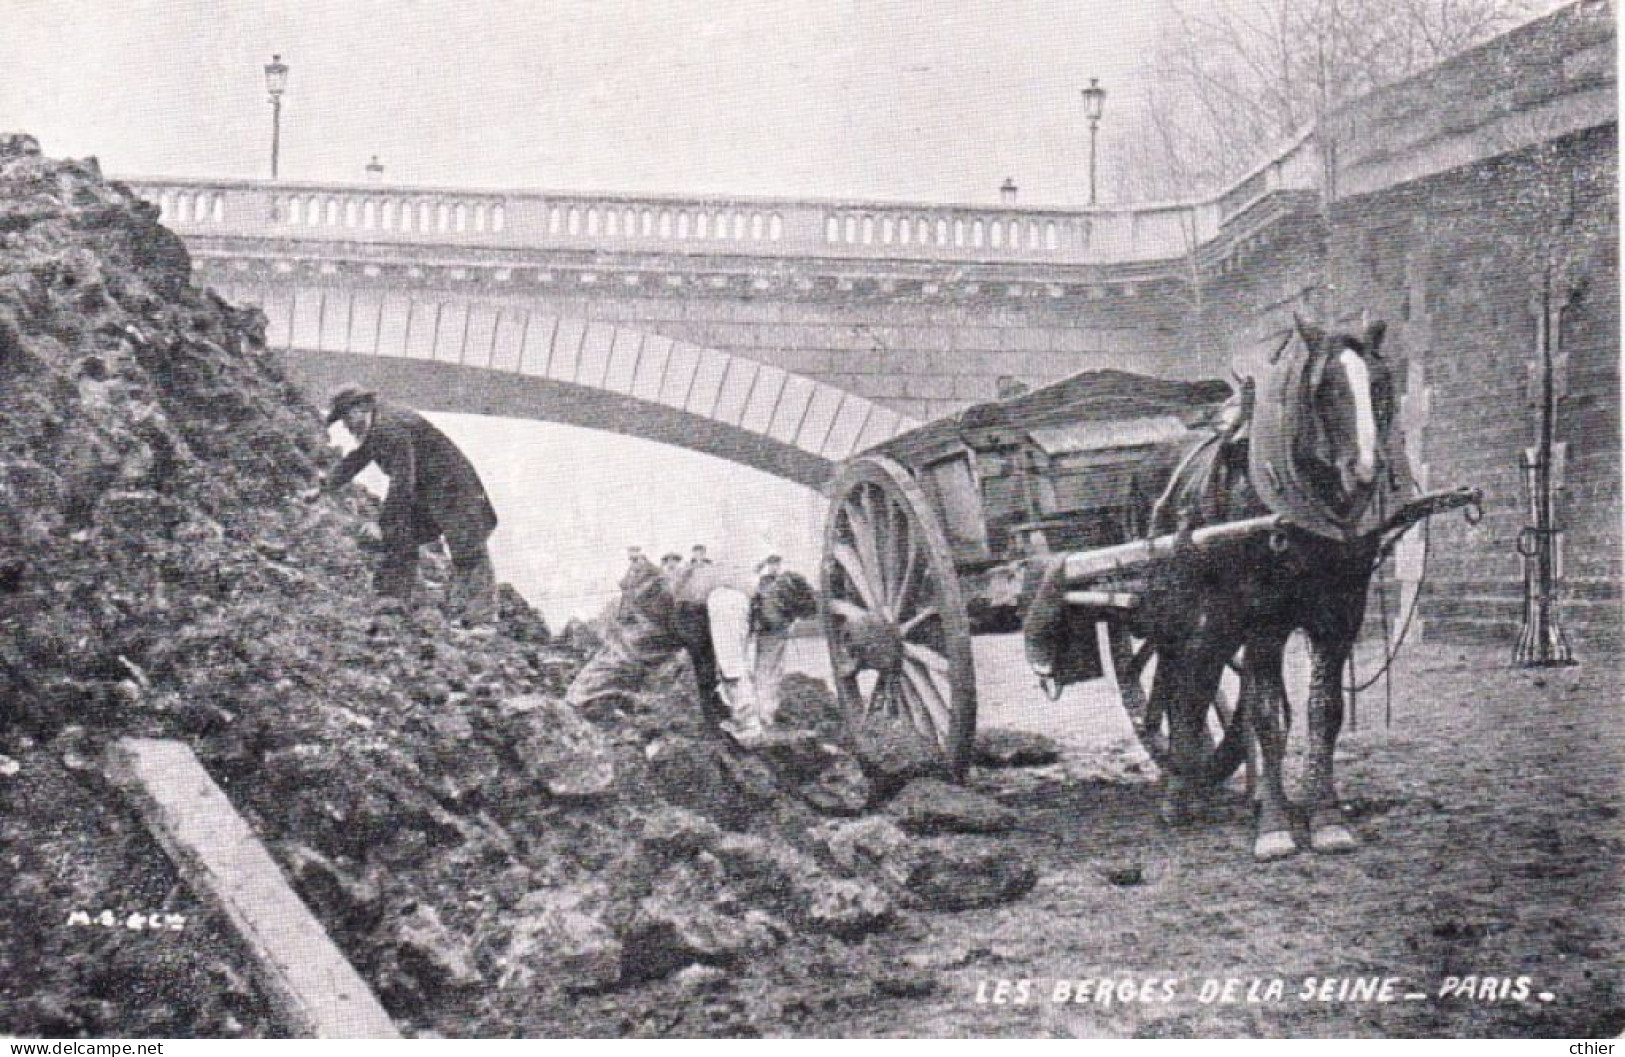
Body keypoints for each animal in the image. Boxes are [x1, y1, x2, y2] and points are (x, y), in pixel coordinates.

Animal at [1137, 312, 1404, 858]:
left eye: (1379, 384)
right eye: (1323, 388)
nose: (1364, 472)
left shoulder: (1341, 615)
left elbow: (1324, 711)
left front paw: (1325, 816)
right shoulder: (1263, 618)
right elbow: (1264, 715)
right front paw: (1277, 826)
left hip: (1217, 619)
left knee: (1197, 682)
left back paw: (1203, 781)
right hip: (1178, 613)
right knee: (1176, 685)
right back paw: (1178, 791)